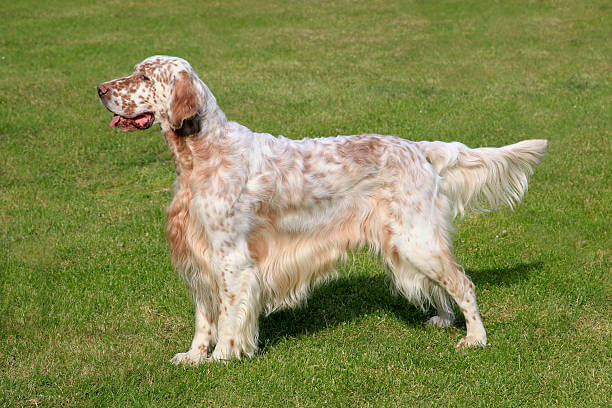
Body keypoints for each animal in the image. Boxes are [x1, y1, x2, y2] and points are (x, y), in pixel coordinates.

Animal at [98, 55, 548, 364]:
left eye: (144, 76)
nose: (99, 89)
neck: (201, 155)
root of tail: (419, 148)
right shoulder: (199, 254)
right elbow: (203, 318)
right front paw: (193, 357)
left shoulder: (230, 259)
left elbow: (227, 317)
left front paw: (222, 358)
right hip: (407, 242)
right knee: (442, 284)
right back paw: (442, 319)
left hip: (414, 238)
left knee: (463, 283)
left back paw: (475, 338)